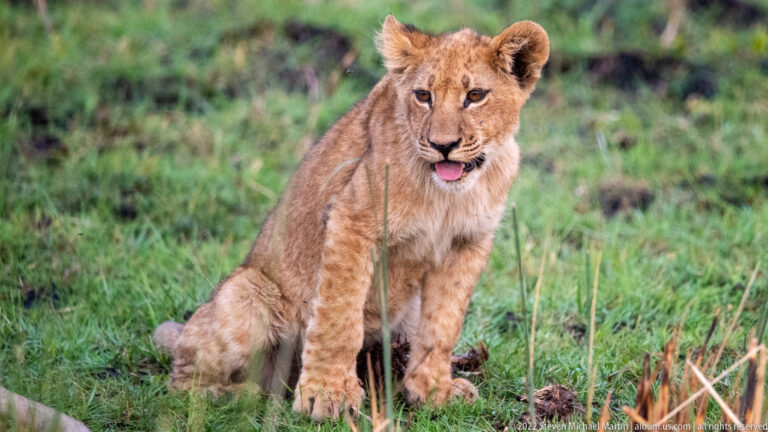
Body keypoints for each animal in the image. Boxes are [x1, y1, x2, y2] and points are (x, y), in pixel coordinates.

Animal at [153, 15, 549, 420]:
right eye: (423, 96)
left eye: (475, 95)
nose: (443, 146)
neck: (447, 196)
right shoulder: (351, 218)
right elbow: (340, 317)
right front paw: (326, 395)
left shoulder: (467, 242)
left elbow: (443, 325)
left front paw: (432, 390)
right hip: (247, 291)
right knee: (181, 379)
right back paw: (239, 396)